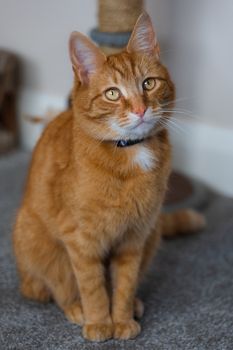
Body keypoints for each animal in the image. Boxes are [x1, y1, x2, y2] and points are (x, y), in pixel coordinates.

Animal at [13, 13, 205, 342]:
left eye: (148, 83)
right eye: (113, 93)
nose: (140, 110)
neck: (129, 154)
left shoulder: (134, 239)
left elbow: (124, 284)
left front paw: (122, 318)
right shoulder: (82, 240)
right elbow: (93, 287)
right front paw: (100, 321)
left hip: (153, 233)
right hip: (37, 242)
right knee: (49, 287)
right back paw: (76, 307)